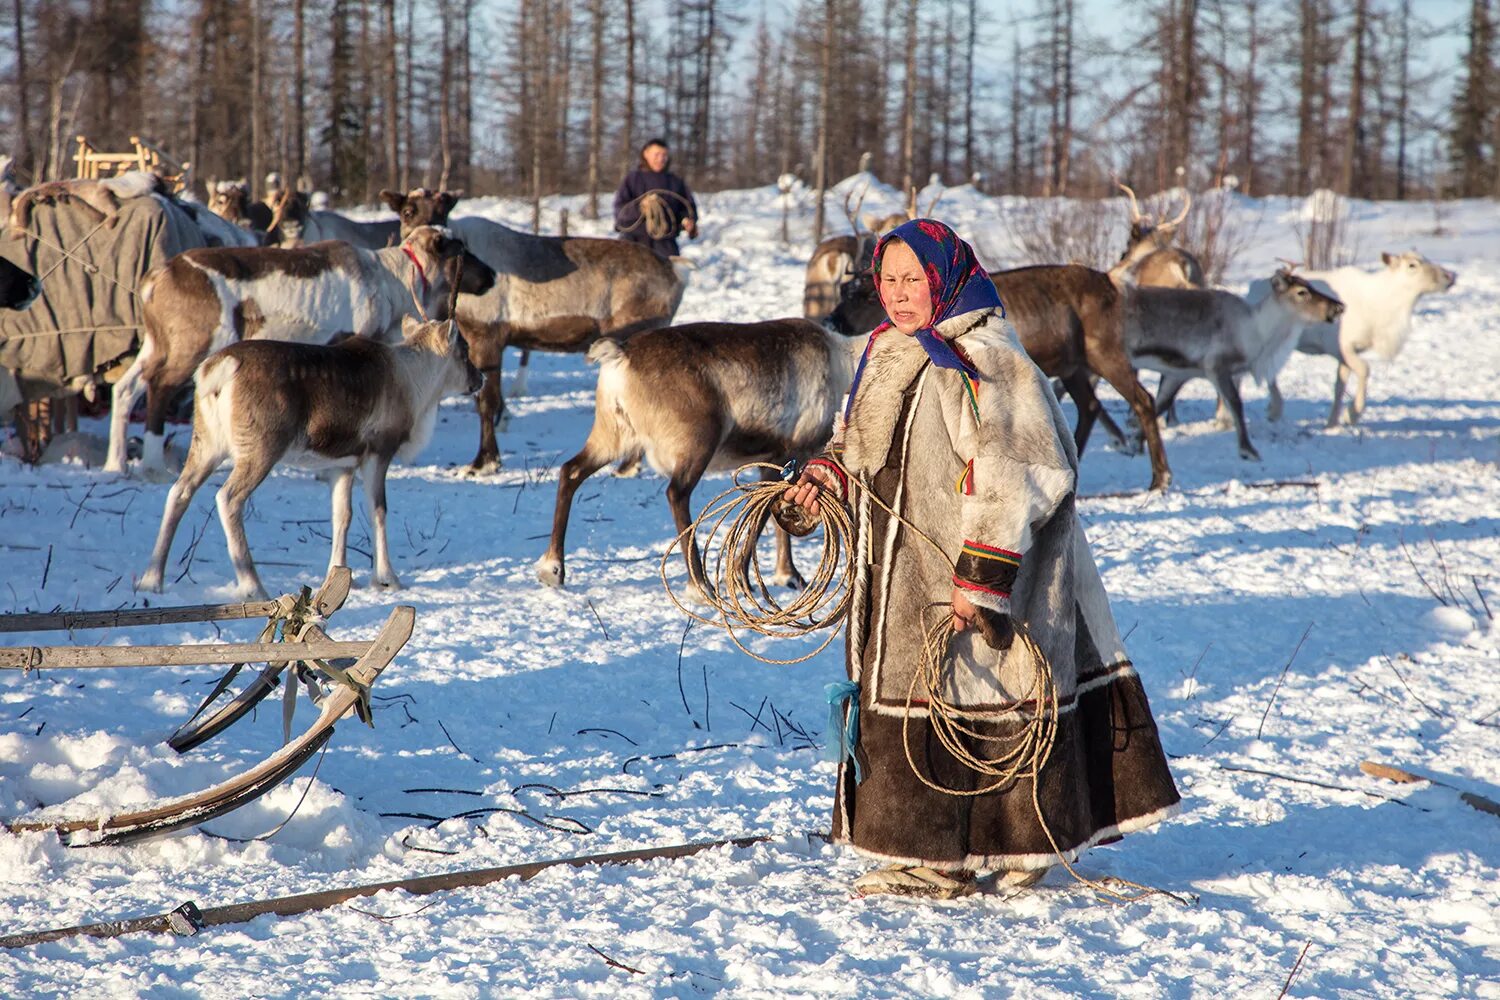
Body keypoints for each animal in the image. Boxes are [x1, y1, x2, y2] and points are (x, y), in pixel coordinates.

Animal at [141, 316, 480, 599]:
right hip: (260, 450)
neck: (414, 382)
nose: (480, 380)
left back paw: (150, 580)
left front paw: (340, 576)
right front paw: (387, 579)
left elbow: (342, 516)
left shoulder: (342, 466)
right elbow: (378, 511)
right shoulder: (378, 453)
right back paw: (253, 586)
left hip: (207, 444)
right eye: (464, 351)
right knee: (228, 498)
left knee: (179, 492)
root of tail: (218, 369)